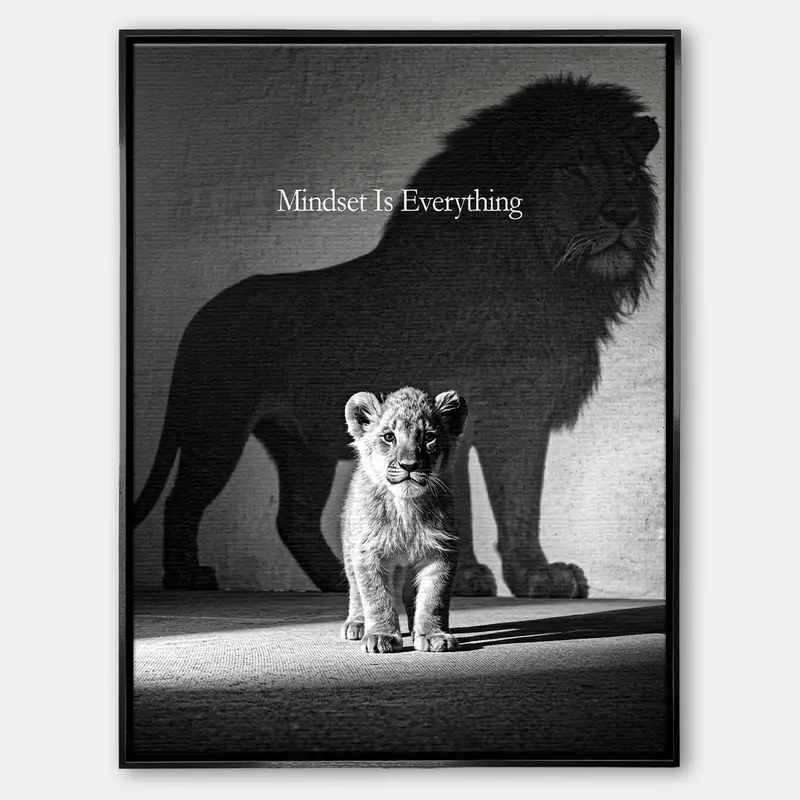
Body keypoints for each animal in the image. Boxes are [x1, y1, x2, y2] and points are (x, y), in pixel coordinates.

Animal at [132, 75, 660, 598]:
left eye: (628, 172)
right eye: (572, 169)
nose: (624, 213)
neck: (546, 279)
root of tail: (199, 317)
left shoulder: (523, 411)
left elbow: (521, 504)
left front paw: (536, 576)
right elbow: (458, 497)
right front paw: (462, 576)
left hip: (300, 446)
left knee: (294, 518)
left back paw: (340, 579)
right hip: (217, 426)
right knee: (183, 501)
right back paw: (187, 577)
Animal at [340, 387, 468, 653]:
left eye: (429, 437)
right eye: (389, 437)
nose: (409, 465)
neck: (406, 508)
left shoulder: (442, 551)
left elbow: (434, 598)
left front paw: (433, 635)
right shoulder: (368, 552)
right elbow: (376, 597)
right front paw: (380, 636)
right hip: (350, 549)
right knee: (356, 590)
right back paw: (357, 624)